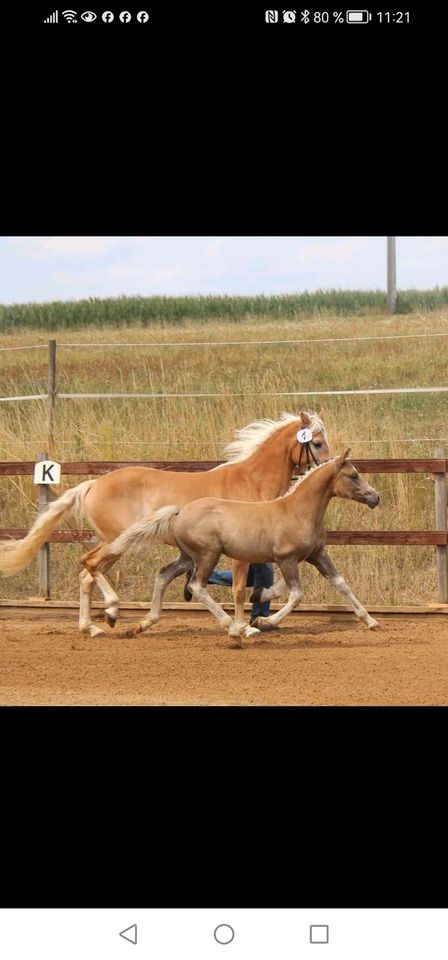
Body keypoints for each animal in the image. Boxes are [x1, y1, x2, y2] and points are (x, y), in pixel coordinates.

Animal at [0, 408, 328, 632]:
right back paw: (112, 611)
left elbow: (265, 580)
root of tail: (93, 484)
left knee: (87, 574)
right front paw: (244, 625)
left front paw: (260, 614)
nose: (329, 470)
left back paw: (91, 627)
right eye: (318, 443)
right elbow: (241, 587)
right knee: (90, 565)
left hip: (113, 542)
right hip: (116, 540)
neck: (250, 480)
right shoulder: (243, 550)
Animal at [110, 452, 380, 644]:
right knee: (197, 586)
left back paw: (142, 624)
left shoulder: (317, 555)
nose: (375, 497)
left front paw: (371, 621)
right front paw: (263, 621)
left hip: (188, 557)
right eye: (353, 475)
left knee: (163, 575)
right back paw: (234, 628)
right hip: (207, 555)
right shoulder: (287, 559)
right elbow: (296, 595)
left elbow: (341, 583)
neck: (297, 511)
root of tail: (180, 511)